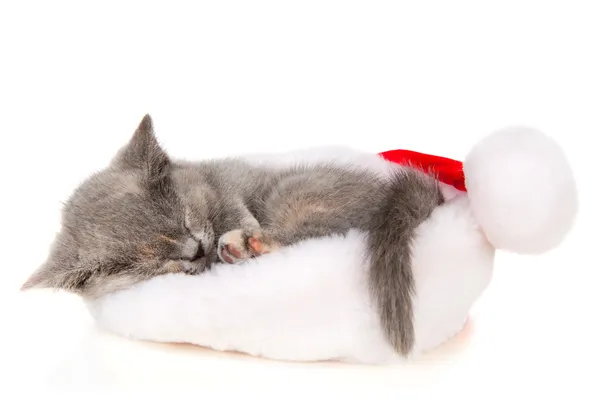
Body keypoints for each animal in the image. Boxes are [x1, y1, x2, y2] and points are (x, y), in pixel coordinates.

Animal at [22, 114, 446, 354]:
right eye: (154, 264)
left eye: (183, 220)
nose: (194, 249)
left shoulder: (226, 185)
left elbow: (232, 209)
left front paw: (235, 236)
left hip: (294, 193)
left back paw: (244, 245)